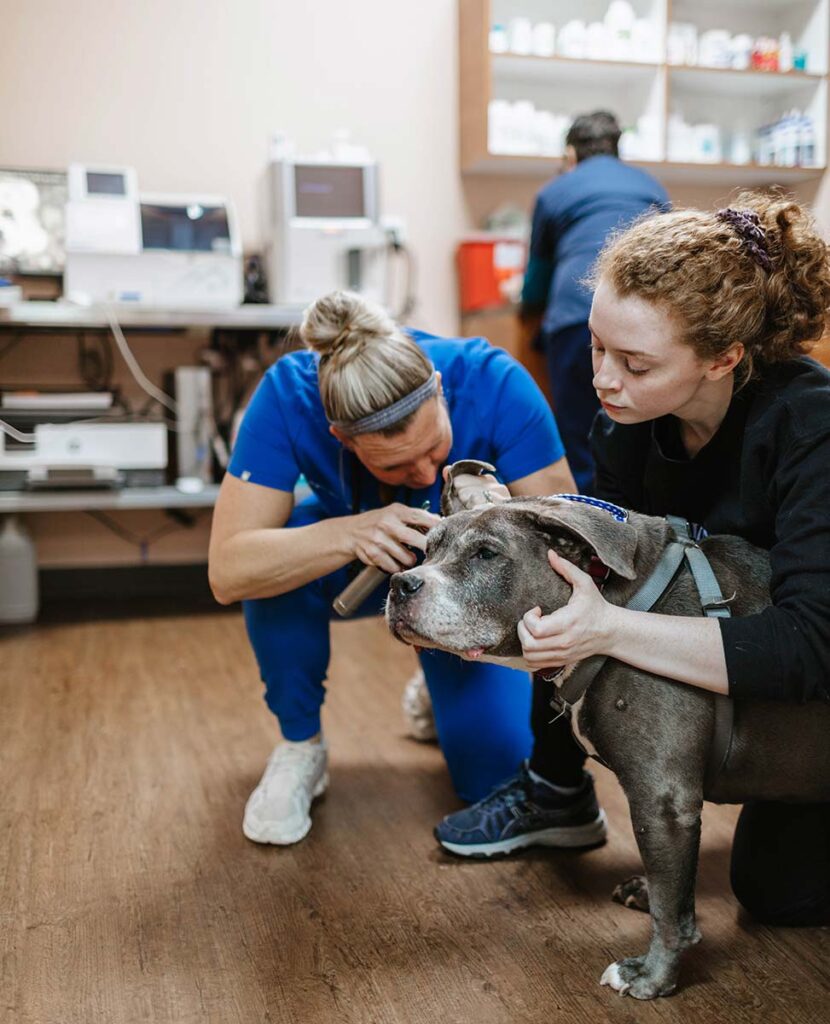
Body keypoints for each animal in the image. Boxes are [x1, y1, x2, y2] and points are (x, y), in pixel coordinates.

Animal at [386, 460, 826, 995]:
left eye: (486, 554)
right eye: (427, 549)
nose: (400, 583)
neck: (622, 604)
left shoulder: (662, 798)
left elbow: (670, 912)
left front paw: (653, 977)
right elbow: (671, 884)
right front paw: (650, 891)